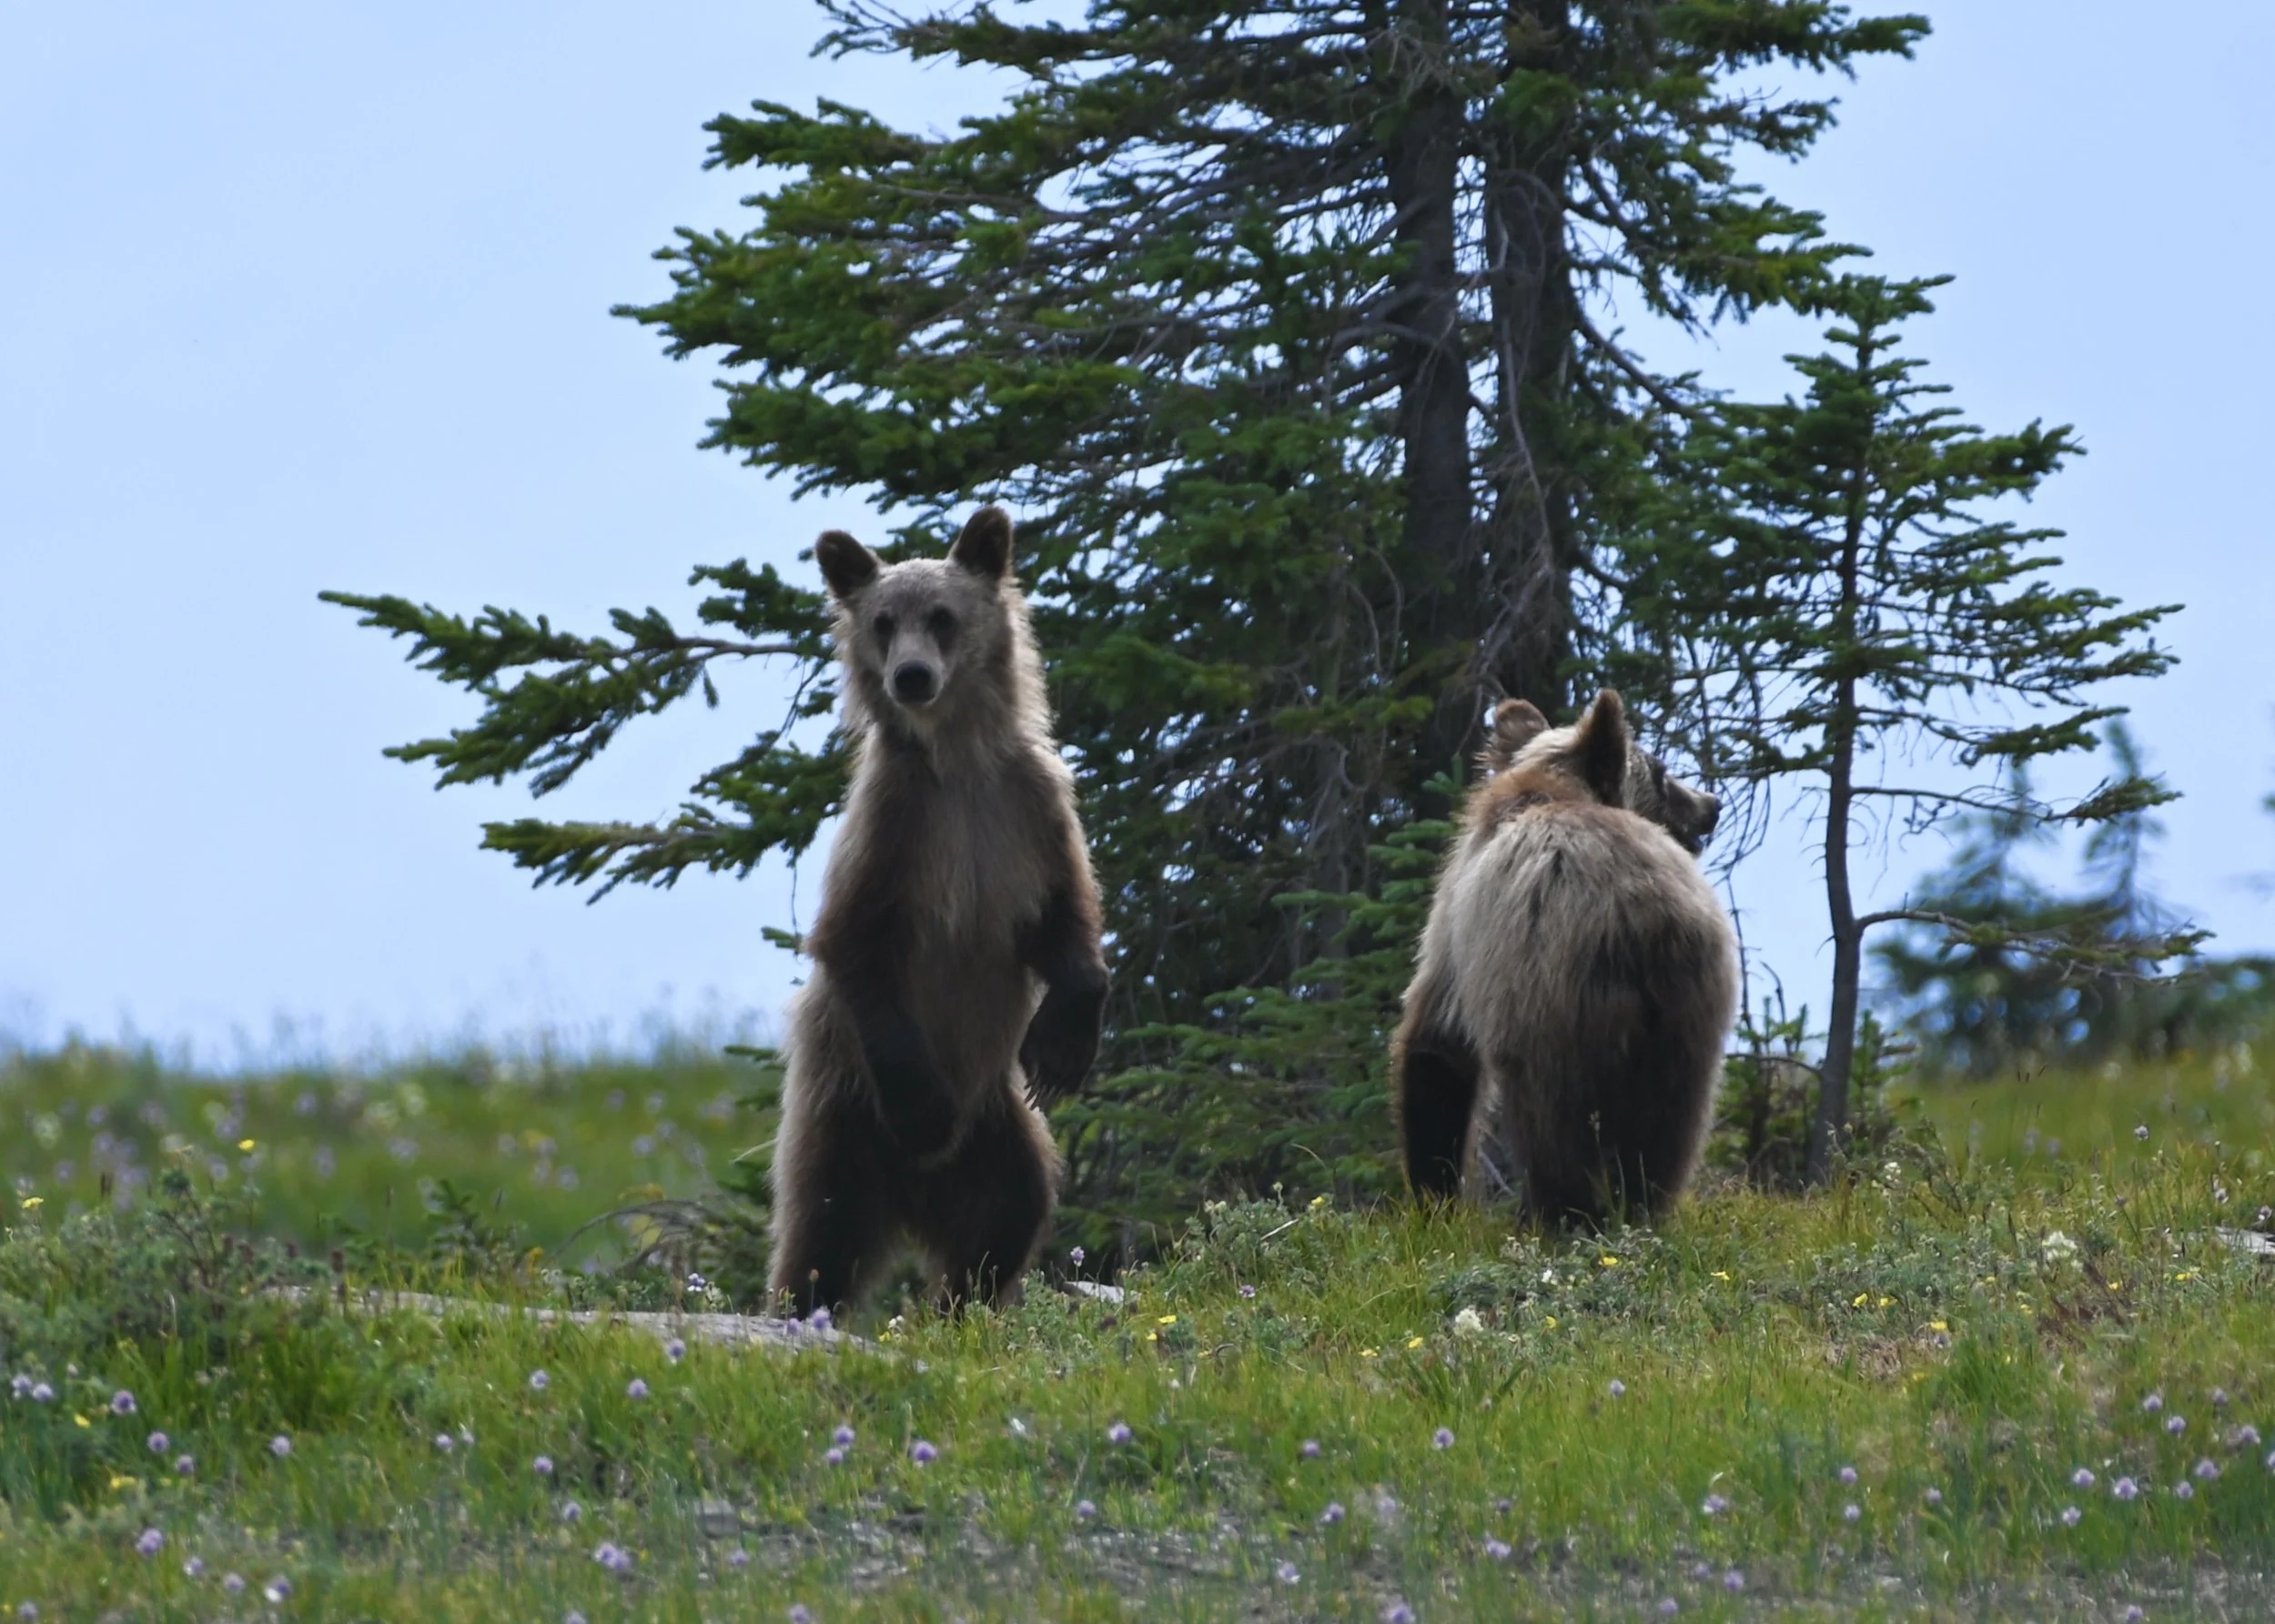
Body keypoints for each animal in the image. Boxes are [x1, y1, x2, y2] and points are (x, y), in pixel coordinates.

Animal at [766, 506, 1108, 1316]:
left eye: (944, 616)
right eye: (883, 621)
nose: (912, 676)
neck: (960, 761)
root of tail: (912, 1197)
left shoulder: (1030, 812)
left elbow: (1068, 919)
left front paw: (1062, 1045)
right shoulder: (898, 830)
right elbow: (852, 941)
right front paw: (924, 1105)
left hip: (997, 1123)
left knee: (1011, 1210)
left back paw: (965, 1303)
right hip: (843, 1118)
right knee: (820, 1234)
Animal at [1391, 688, 1738, 1225]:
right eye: (1662, 771)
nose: (1712, 804)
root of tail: (1644, 912)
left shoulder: (1454, 921)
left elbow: (1438, 1040)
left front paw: (1434, 1198)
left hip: (1550, 998)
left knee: (1551, 1119)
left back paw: (1555, 1212)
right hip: (1690, 1005)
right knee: (1671, 1121)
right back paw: (1642, 1207)